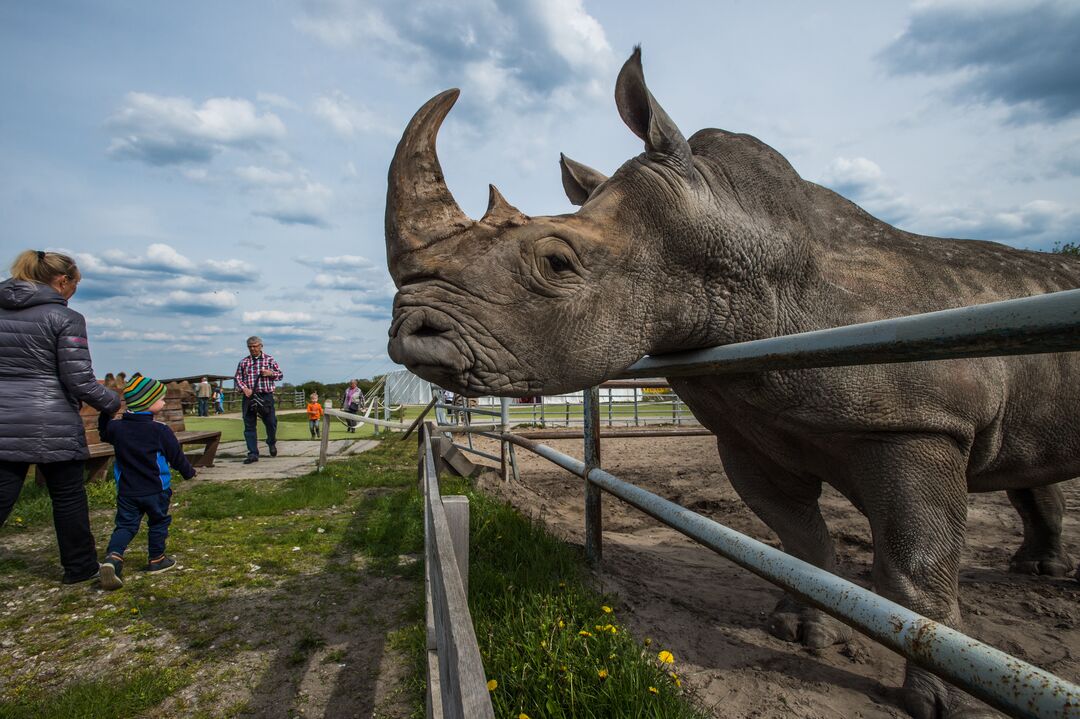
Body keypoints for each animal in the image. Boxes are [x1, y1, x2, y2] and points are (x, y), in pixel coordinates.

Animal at [385, 48, 1079, 718]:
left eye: (556, 262)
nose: (411, 333)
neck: (748, 247)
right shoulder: (750, 429)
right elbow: (798, 542)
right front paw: (802, 632)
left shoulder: (919, 425)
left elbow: (916, 570)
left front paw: (938, 700)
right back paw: (1037, 569)